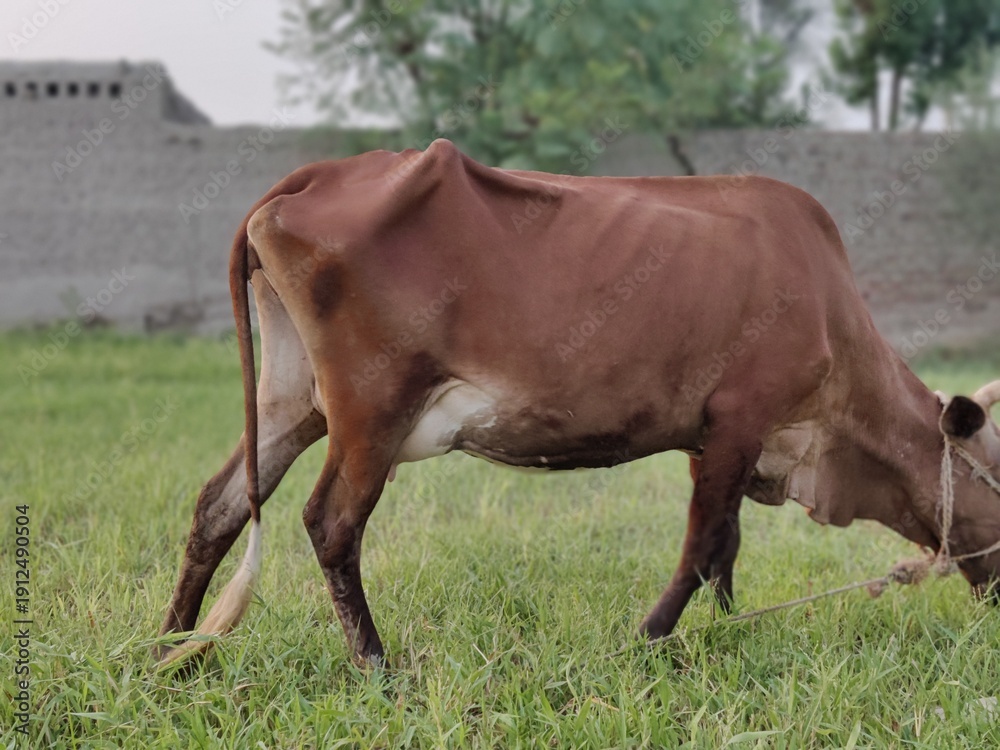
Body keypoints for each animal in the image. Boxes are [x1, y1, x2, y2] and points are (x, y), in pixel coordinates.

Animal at [157, 138, 1000, 667]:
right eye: (999, 484)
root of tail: (316, 175)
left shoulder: (712, 436)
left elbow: (726, 543)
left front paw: (727, 625)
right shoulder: (741, 417)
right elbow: (703, 544)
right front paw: (650, 638)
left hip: (292, 399)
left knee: (220, 504)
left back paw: (169, 647)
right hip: (373, 406)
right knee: (330, 523)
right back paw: (374, 663)